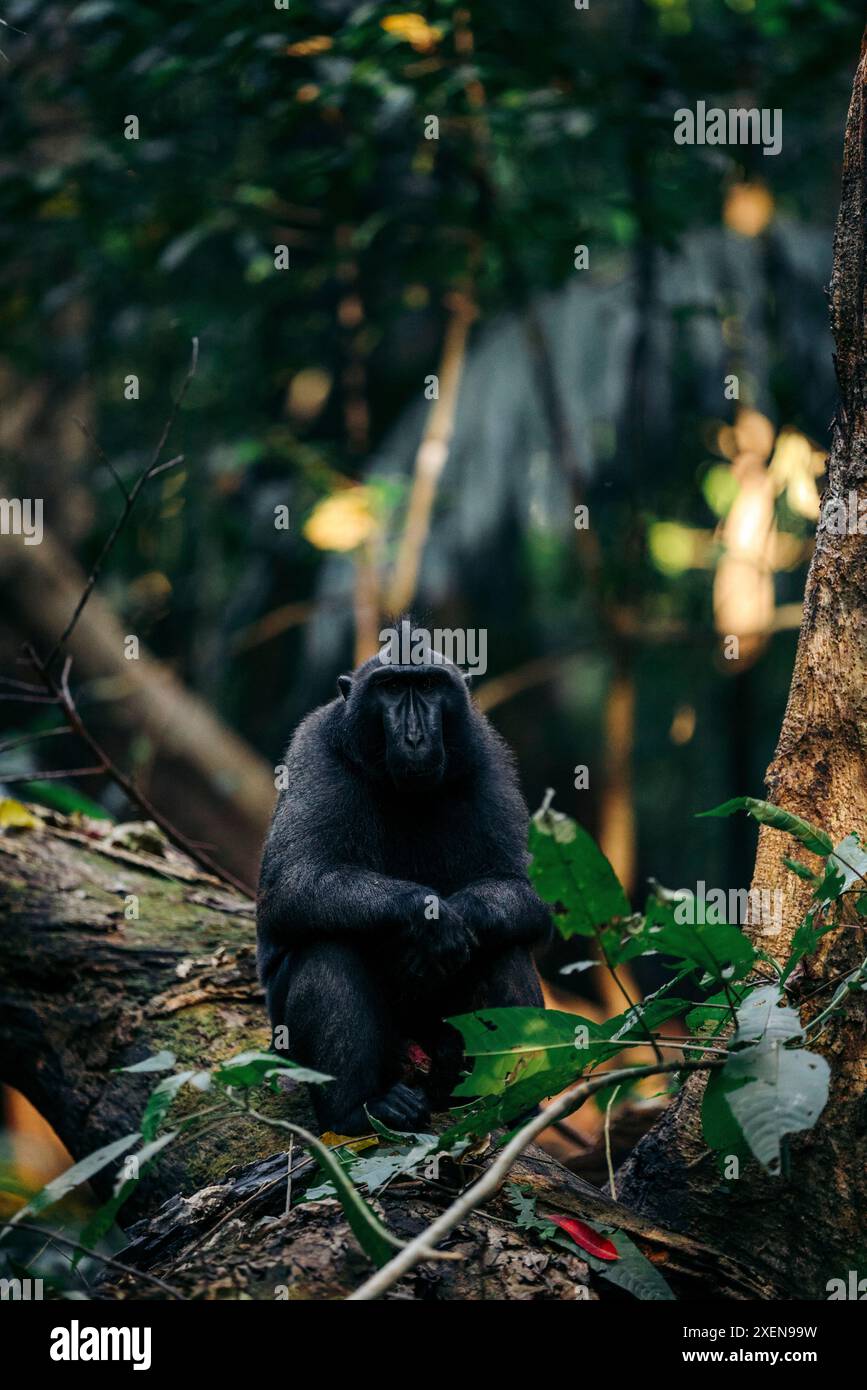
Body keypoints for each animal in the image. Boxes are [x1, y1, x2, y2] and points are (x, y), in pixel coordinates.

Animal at [256, 638, 551, 1136]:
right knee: (328, 946)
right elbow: (292, 882)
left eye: (428, 686)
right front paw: (426, 913)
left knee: (504, 949)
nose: (414, 734)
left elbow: (522, 892)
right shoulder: (314, 750)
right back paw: (358, 1110)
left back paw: (512, 1106)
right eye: (391, 687)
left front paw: (460, 916)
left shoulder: (488, 757)